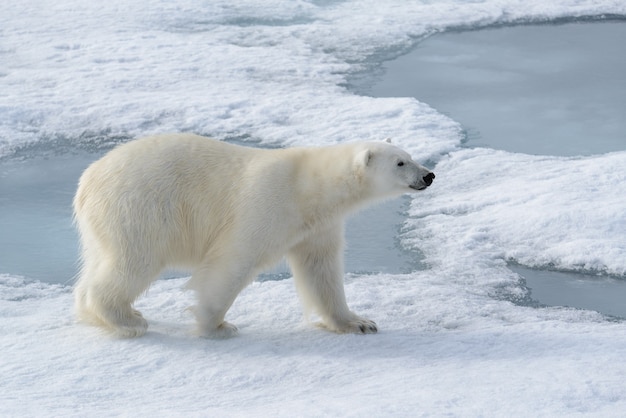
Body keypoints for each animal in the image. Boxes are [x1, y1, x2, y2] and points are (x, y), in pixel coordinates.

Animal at [72, 134, 434, 336]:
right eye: (401, 163)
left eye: (411, 155)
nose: (429, 175)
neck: (309, 188)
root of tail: (87, 182)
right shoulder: (266, 204)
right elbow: (234, 261)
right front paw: (216, 326)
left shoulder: (318, 226)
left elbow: (322, 271)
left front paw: (358, 322)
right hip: (141, 208)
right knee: (134, 261)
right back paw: (127, 321)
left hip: (104, 222)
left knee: (99, 262)